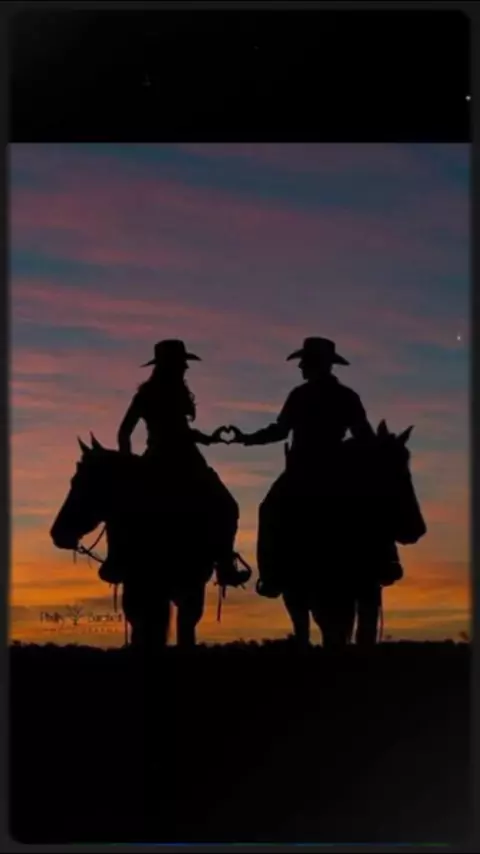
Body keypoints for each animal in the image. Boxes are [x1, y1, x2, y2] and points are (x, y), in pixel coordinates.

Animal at [50, 434, 239, 651]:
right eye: (73, 481)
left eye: (88, 483)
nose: (57, 533)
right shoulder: (139, 586)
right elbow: (145, 630)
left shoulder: (191, 587)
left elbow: (184, 629)